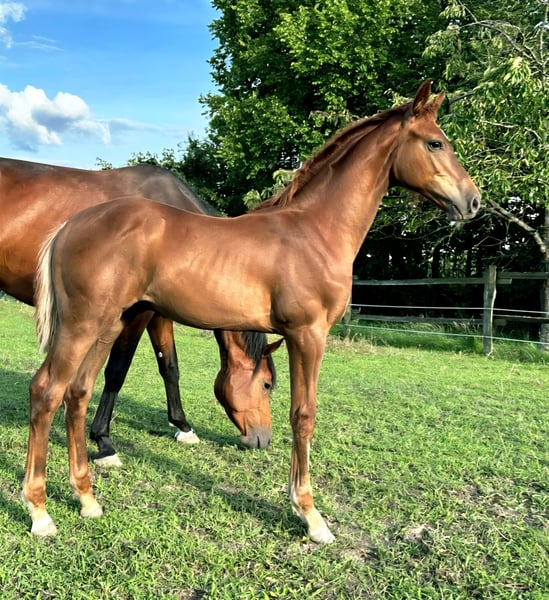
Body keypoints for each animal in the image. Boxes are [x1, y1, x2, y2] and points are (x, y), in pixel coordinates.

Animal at [0, 159, 280, 457]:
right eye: (267, 384)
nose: (262, 439)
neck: (179, 227)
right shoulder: (137, 314)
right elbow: (117, 371)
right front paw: (103, 440)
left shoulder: (158, 313)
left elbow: (169, 365)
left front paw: (183, 427)